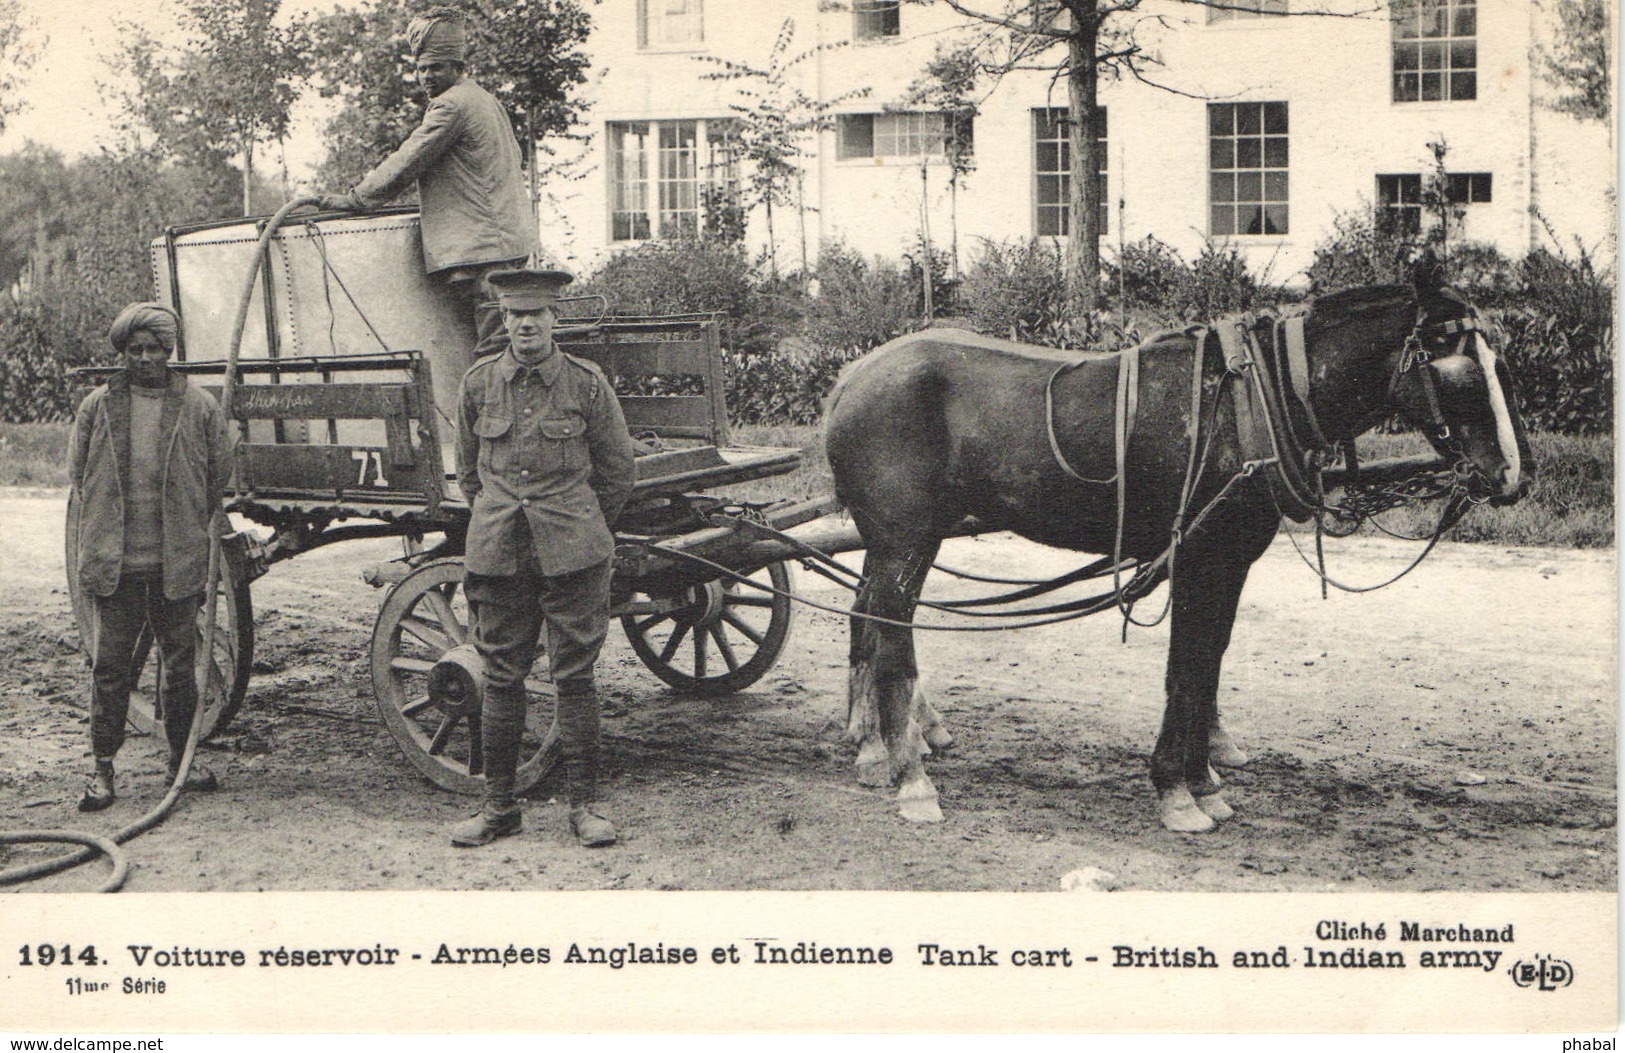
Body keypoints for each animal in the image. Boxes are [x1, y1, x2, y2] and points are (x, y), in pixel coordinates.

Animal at [832, 261, 1527, 832]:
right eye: (1459, 367)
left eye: (1503, 366)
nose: (1514, 476)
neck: (1251, 402)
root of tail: (851, 377)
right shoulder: (1200, 555)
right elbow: (1186, 667)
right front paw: (1176, 790)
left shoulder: (1230, 560)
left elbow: (1209, 662)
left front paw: (1202, 781)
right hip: (905, 540)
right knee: (890, 636)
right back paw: (910, 778)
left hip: (892, 543)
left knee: (866, 618)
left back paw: (876, 747)